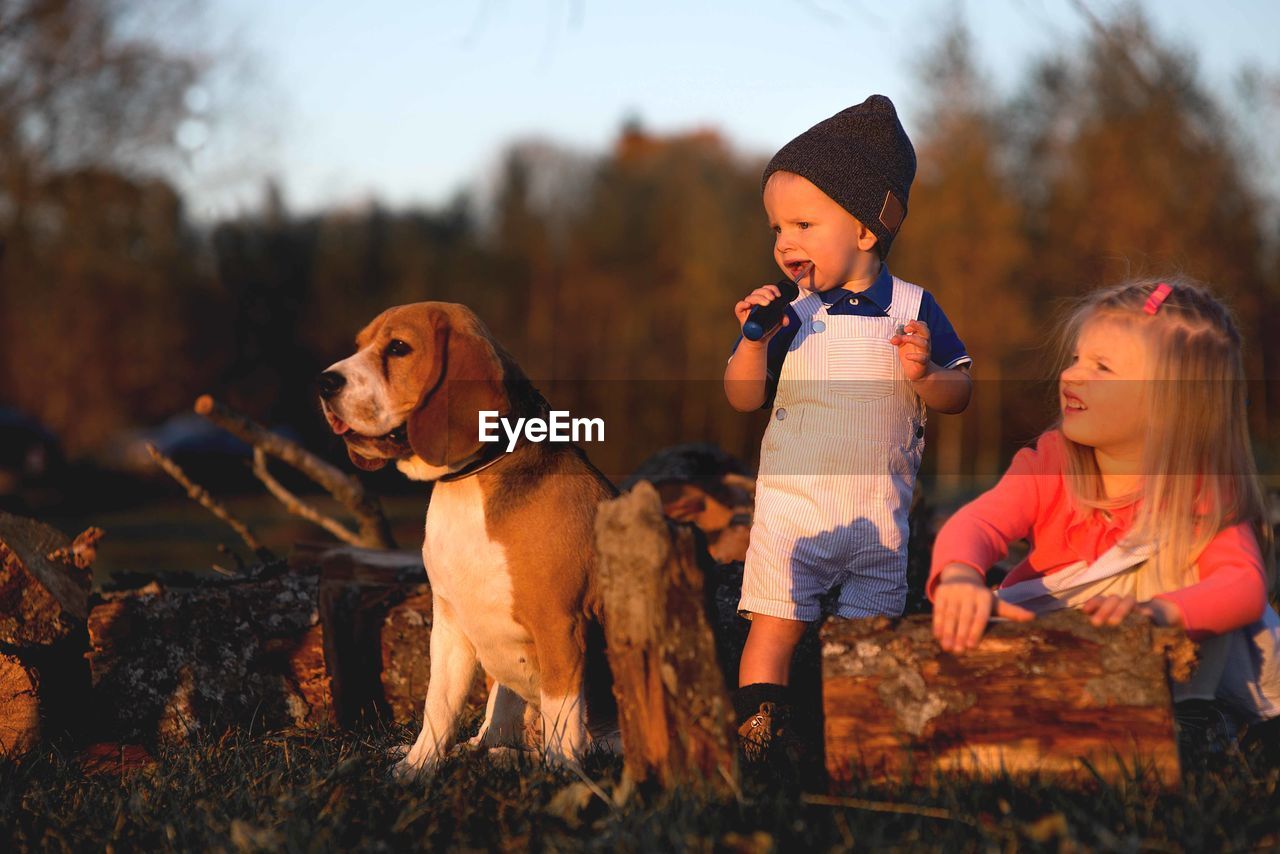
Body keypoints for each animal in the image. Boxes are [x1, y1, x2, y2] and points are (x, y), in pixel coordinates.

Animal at [320, 302, 619, 773]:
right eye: (359, 345)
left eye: (398, 347)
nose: (324, 382)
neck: (468, 484)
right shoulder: (448, 622)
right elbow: (439, 706)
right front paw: (418, 767)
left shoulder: (561, 625)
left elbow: (563, 714)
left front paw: (562, 773)